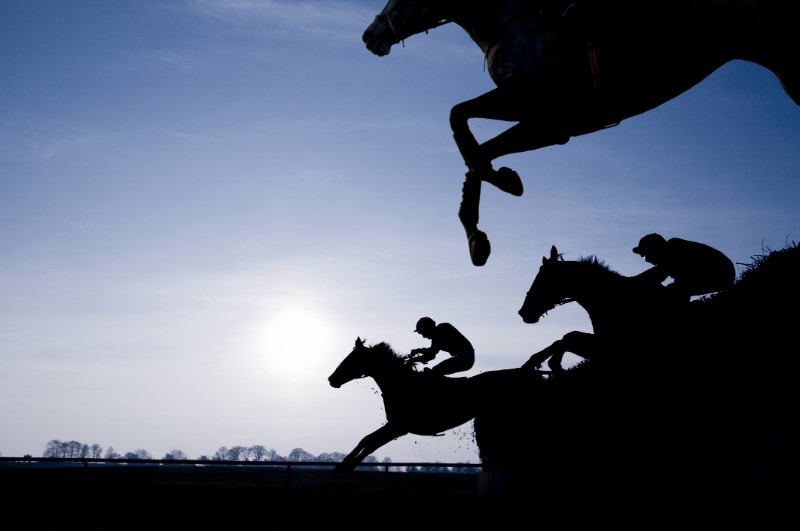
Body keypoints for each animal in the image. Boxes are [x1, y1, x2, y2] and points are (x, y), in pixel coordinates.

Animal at [364, 0, 800, 266]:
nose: (370, 36)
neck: (511, 21)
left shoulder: (548, 114)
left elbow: (465, 133)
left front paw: (496, 198)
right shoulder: (550, 122)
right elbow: (472, 142)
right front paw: (486, 217)